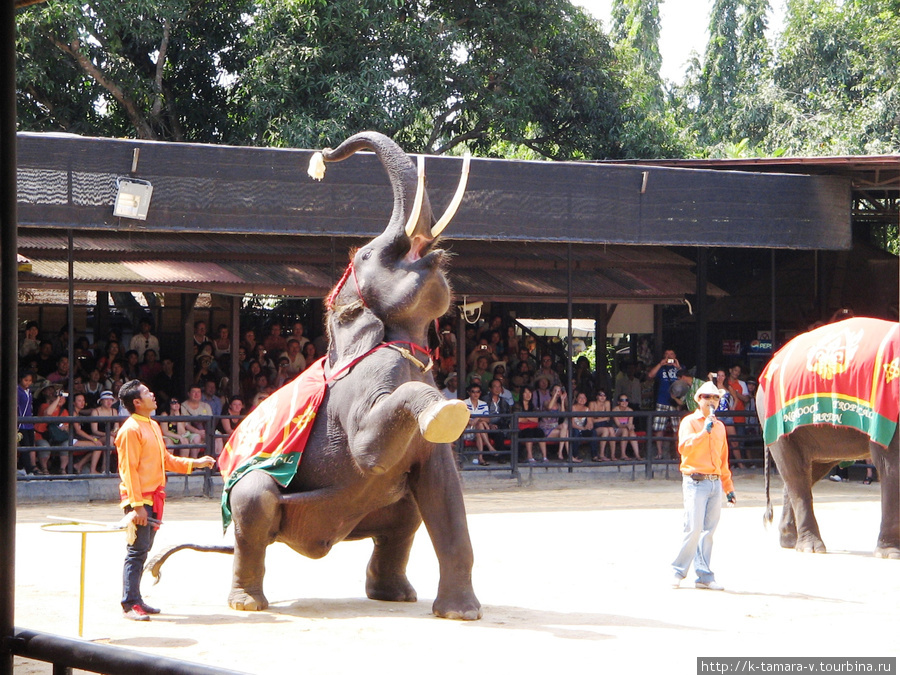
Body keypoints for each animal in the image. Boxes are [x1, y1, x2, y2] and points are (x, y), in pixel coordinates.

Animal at [150, 131, 482, 616]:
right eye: (367, 254)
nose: (324, 156)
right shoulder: (362, 389)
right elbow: (368, 450)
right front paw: (450, 412)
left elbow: (444, 491)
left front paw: (461, 614)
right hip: (262, 503)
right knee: (254, 503)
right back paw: (247, 605)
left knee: (406, 517)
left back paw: (395, 595)